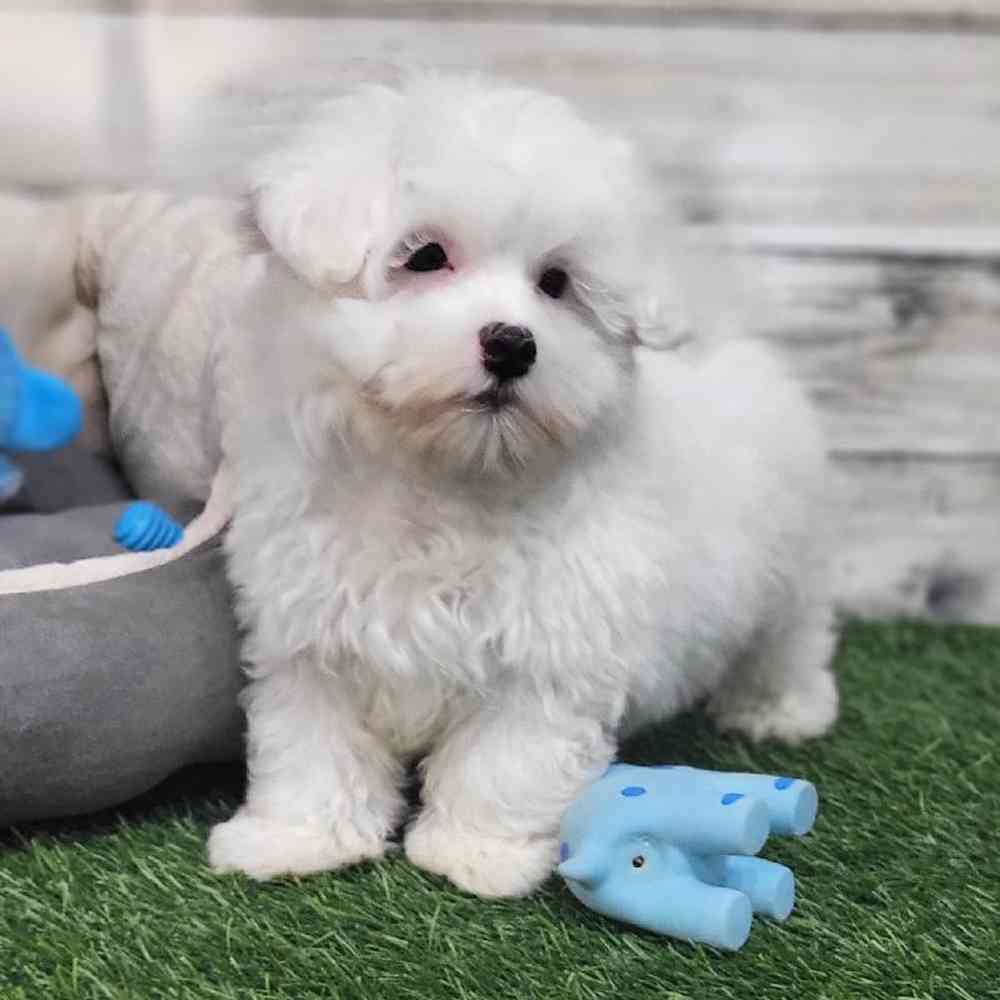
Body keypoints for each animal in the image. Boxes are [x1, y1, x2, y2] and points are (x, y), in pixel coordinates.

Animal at [207, 72, 840, 900]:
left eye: (557, 283)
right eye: (425, 256)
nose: (512, 344)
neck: (446, 479)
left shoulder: (550, 648)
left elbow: (505, 758)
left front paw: (478, 852)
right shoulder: (309, 632)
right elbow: (311, 742)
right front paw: (295, 838)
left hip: (791, 565)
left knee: (791, 637)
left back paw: (782, 709)